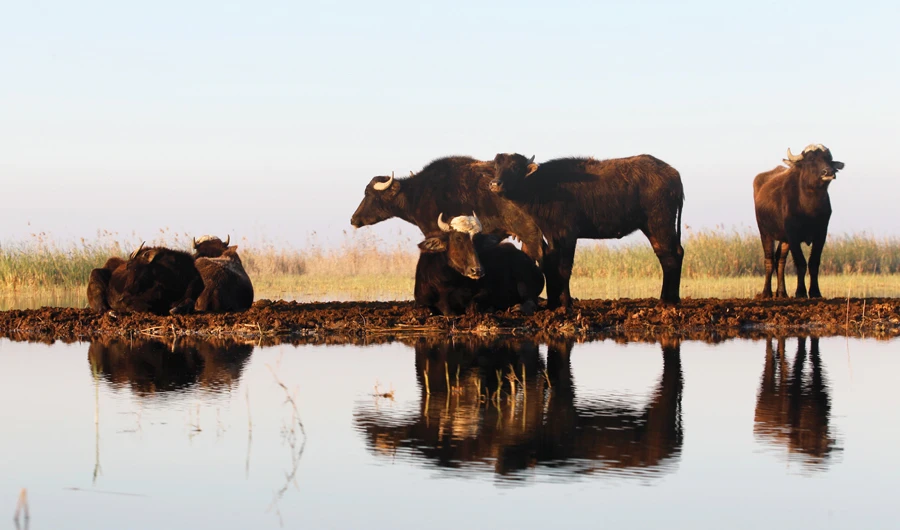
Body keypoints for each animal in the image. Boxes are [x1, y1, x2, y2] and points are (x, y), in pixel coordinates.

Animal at [414, 214, 544, 316]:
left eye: (478, 240)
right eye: (458, 238)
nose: (477, 270)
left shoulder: (487, 291)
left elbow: (472, 306)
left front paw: (489, 309)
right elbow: (427, 309)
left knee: (531, 300)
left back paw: (518, 308)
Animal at [490, 154, 685, 308]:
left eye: (515, 167)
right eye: (496, 167)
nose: (495, 184)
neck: (543, 187)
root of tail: (673, 175)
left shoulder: (567, 235)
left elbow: (563, 268)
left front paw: (566, 303)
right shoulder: (552, 234)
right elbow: (551, 264)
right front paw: (554, 303)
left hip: (660, 223)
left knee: (671, 255)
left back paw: (668, 302)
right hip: (652, 227)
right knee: (666, 254)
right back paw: (668, 299)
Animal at [753, 144, 844, 298]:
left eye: (828, 159)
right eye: (811, 159)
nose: (829, 172)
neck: (810, 206)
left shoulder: (821, 235)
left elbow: (813, 263)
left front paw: (815, 292)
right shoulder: (793, 236)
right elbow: (801, 263)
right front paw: (800, 292)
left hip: (784, 240)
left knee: (780, 261)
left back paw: (782, 293)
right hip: (765, 233)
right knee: (769, 260)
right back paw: (766, 293)